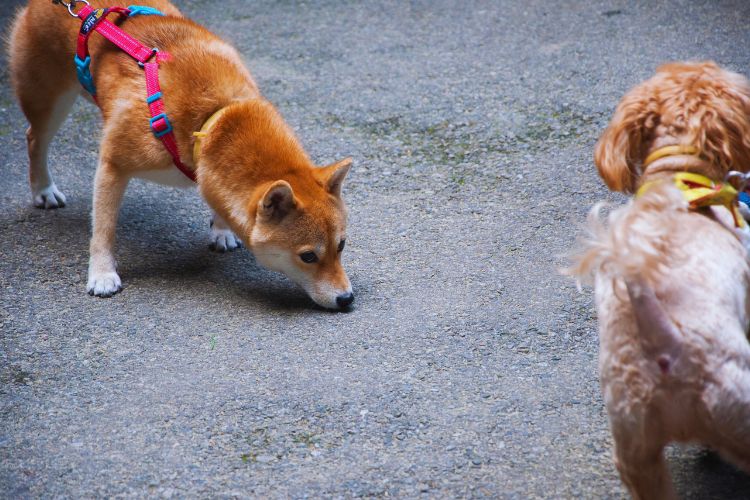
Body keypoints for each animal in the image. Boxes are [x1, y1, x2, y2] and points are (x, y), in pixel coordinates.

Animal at [8, 0, 356, 310]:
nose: (347, 299)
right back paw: (43, 189)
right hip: (49, 101)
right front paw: (102, 273)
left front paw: (221, 229)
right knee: (34, 139)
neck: (214, 118)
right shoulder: (112, 164)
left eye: (341, 245)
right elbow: (103, 229)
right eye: (308, 256)